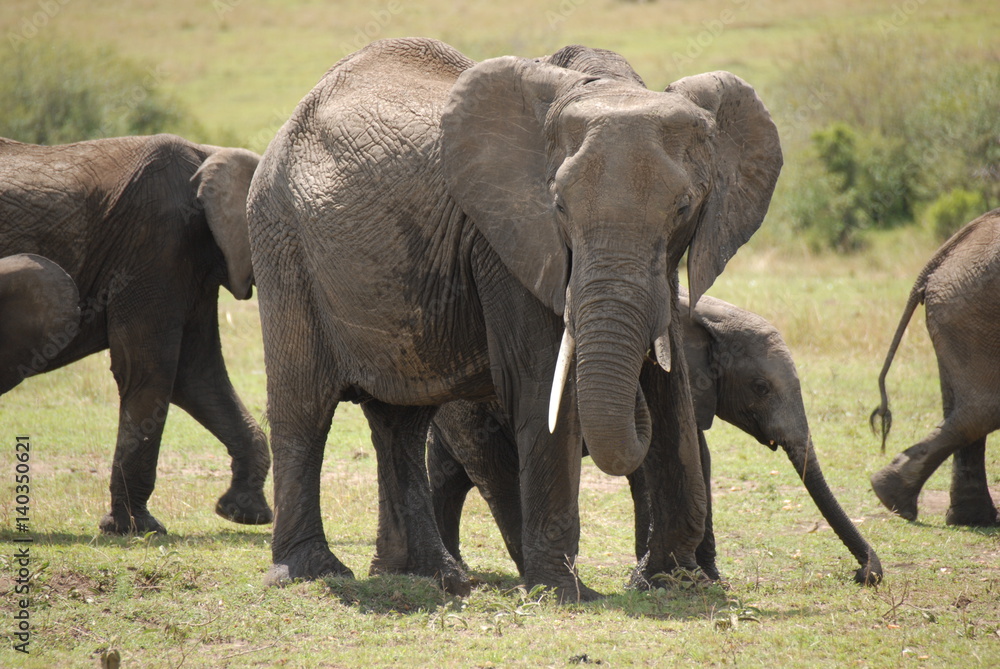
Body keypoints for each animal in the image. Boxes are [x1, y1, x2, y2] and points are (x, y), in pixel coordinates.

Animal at [246, 39, 782, 600]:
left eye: (684, 208)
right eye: (559, 206)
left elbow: (672, 392)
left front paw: (670, 582)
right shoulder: (507, 241)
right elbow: (541, 380)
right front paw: (565, 594)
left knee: (401, 423)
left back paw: (430, 577)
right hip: (280, 240)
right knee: (304, 407)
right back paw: (310, 572)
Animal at [428, 291, 882, 586]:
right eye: (760, 387)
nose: (864, 574)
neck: (712, 314)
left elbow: (698, 459)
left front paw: (707, 579)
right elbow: (652, 468)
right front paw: (651, 578)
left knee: (447, 480)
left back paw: (458, 569)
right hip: (469, 407)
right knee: (494, 474)